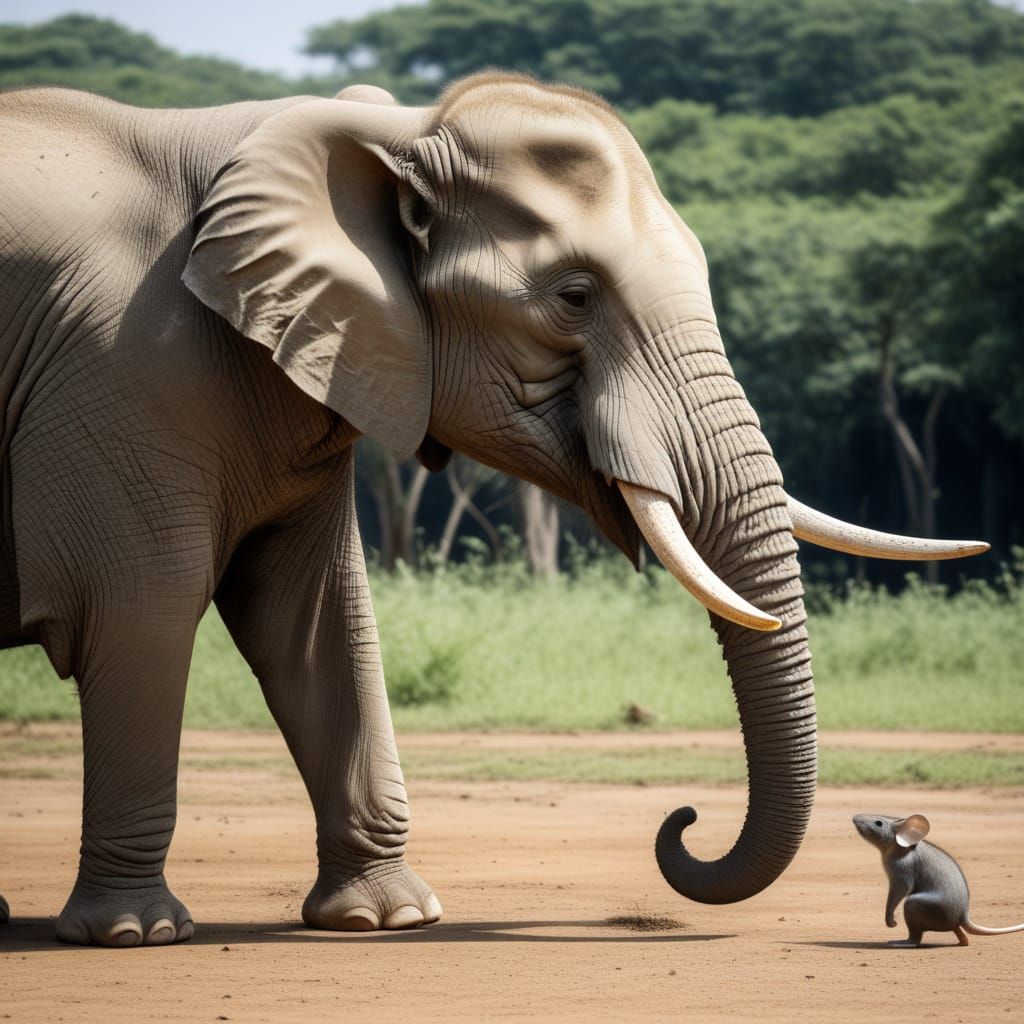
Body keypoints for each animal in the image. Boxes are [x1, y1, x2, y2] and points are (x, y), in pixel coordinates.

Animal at [0, 73, 988, 947]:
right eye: (575, 297)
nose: (682, 820)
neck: (390, 132)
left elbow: (316, 621)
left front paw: (386, 920)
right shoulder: (122, 365)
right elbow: (143, 613)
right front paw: (135, 934)